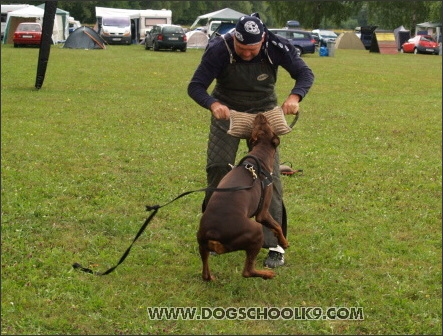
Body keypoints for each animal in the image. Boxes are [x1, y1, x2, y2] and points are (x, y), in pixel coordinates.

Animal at [199, 113, 290, 280]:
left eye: (260, 123)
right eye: (267, 123)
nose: (260, 114)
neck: (259, 155)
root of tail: (213, 234)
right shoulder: (262, 213)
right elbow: (277, 226)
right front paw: (284, 242)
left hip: (202, 244)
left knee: (205, 274)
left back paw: (211, 278)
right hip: (256, 231)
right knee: (247, 271)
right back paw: (267, 274)